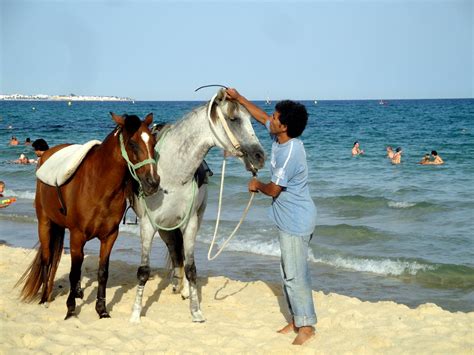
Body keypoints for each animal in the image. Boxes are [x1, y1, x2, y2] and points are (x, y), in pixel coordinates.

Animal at [16, 113, 159, 320]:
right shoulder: (77, 235)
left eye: (154, 143)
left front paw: (102, 309)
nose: (153, 182)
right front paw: (70, 309)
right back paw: (44, 298)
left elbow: (102, 273)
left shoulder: (109, 237)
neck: (99, 185)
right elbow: (74, 272)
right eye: (132, 143)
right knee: (47, 258)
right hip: (45, 223)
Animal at [131, 90, 266, 324]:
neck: (171, 173)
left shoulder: (191, 223)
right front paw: (136, 314)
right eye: (233, 119)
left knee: (178, 254)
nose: (260, 156)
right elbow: (143, 270)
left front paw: (196, 312)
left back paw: (183, 289)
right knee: (174, 251)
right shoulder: (148, 225)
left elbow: (191, 267)